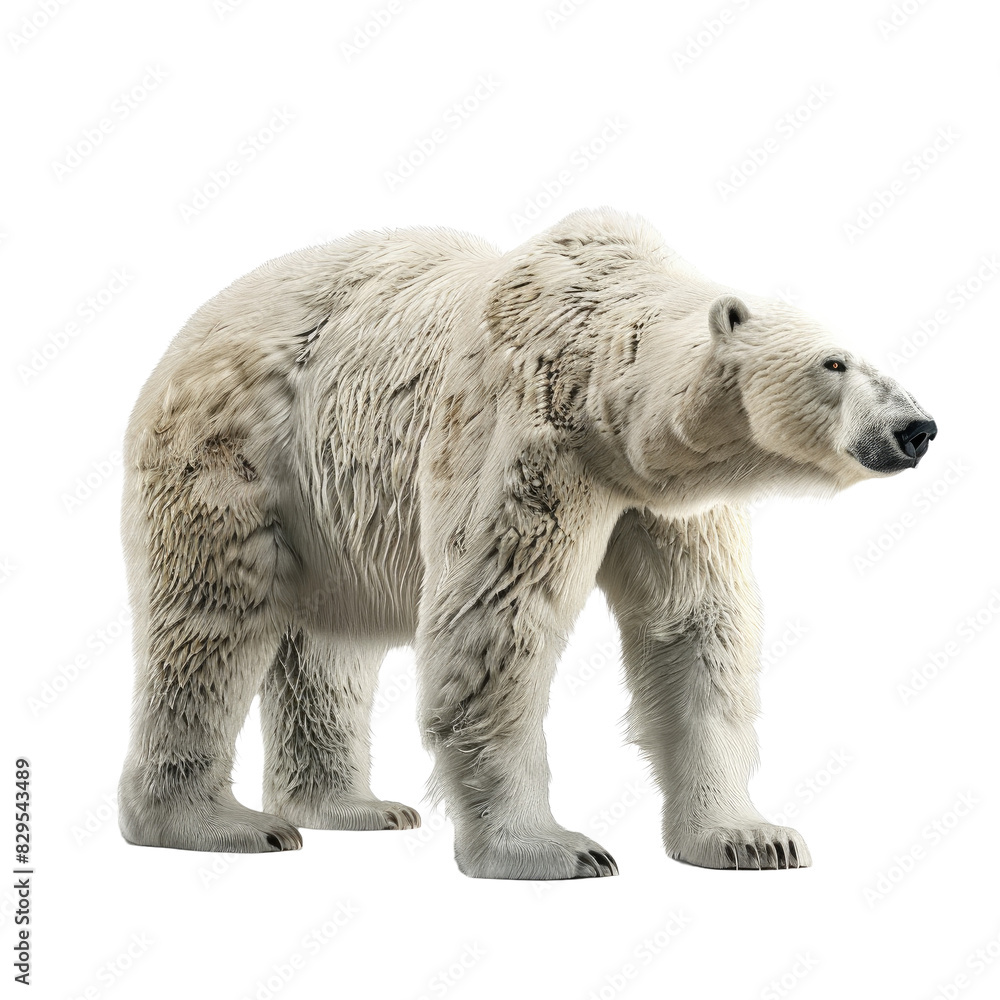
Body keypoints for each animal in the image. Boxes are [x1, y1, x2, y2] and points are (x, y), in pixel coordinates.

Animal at [117, 207, 937, 879]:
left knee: (331, 645)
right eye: (834, 363)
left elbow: (693, 624)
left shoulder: (666, 499)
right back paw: (219, 823)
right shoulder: (523, 436)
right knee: (214, 618)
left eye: (873, 355)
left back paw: (354, 807)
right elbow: (496, 619)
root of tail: (188, 329)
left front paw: (750, 837)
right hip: (238, 454)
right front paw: (551, 848)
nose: (917, 428)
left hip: (330, 505)